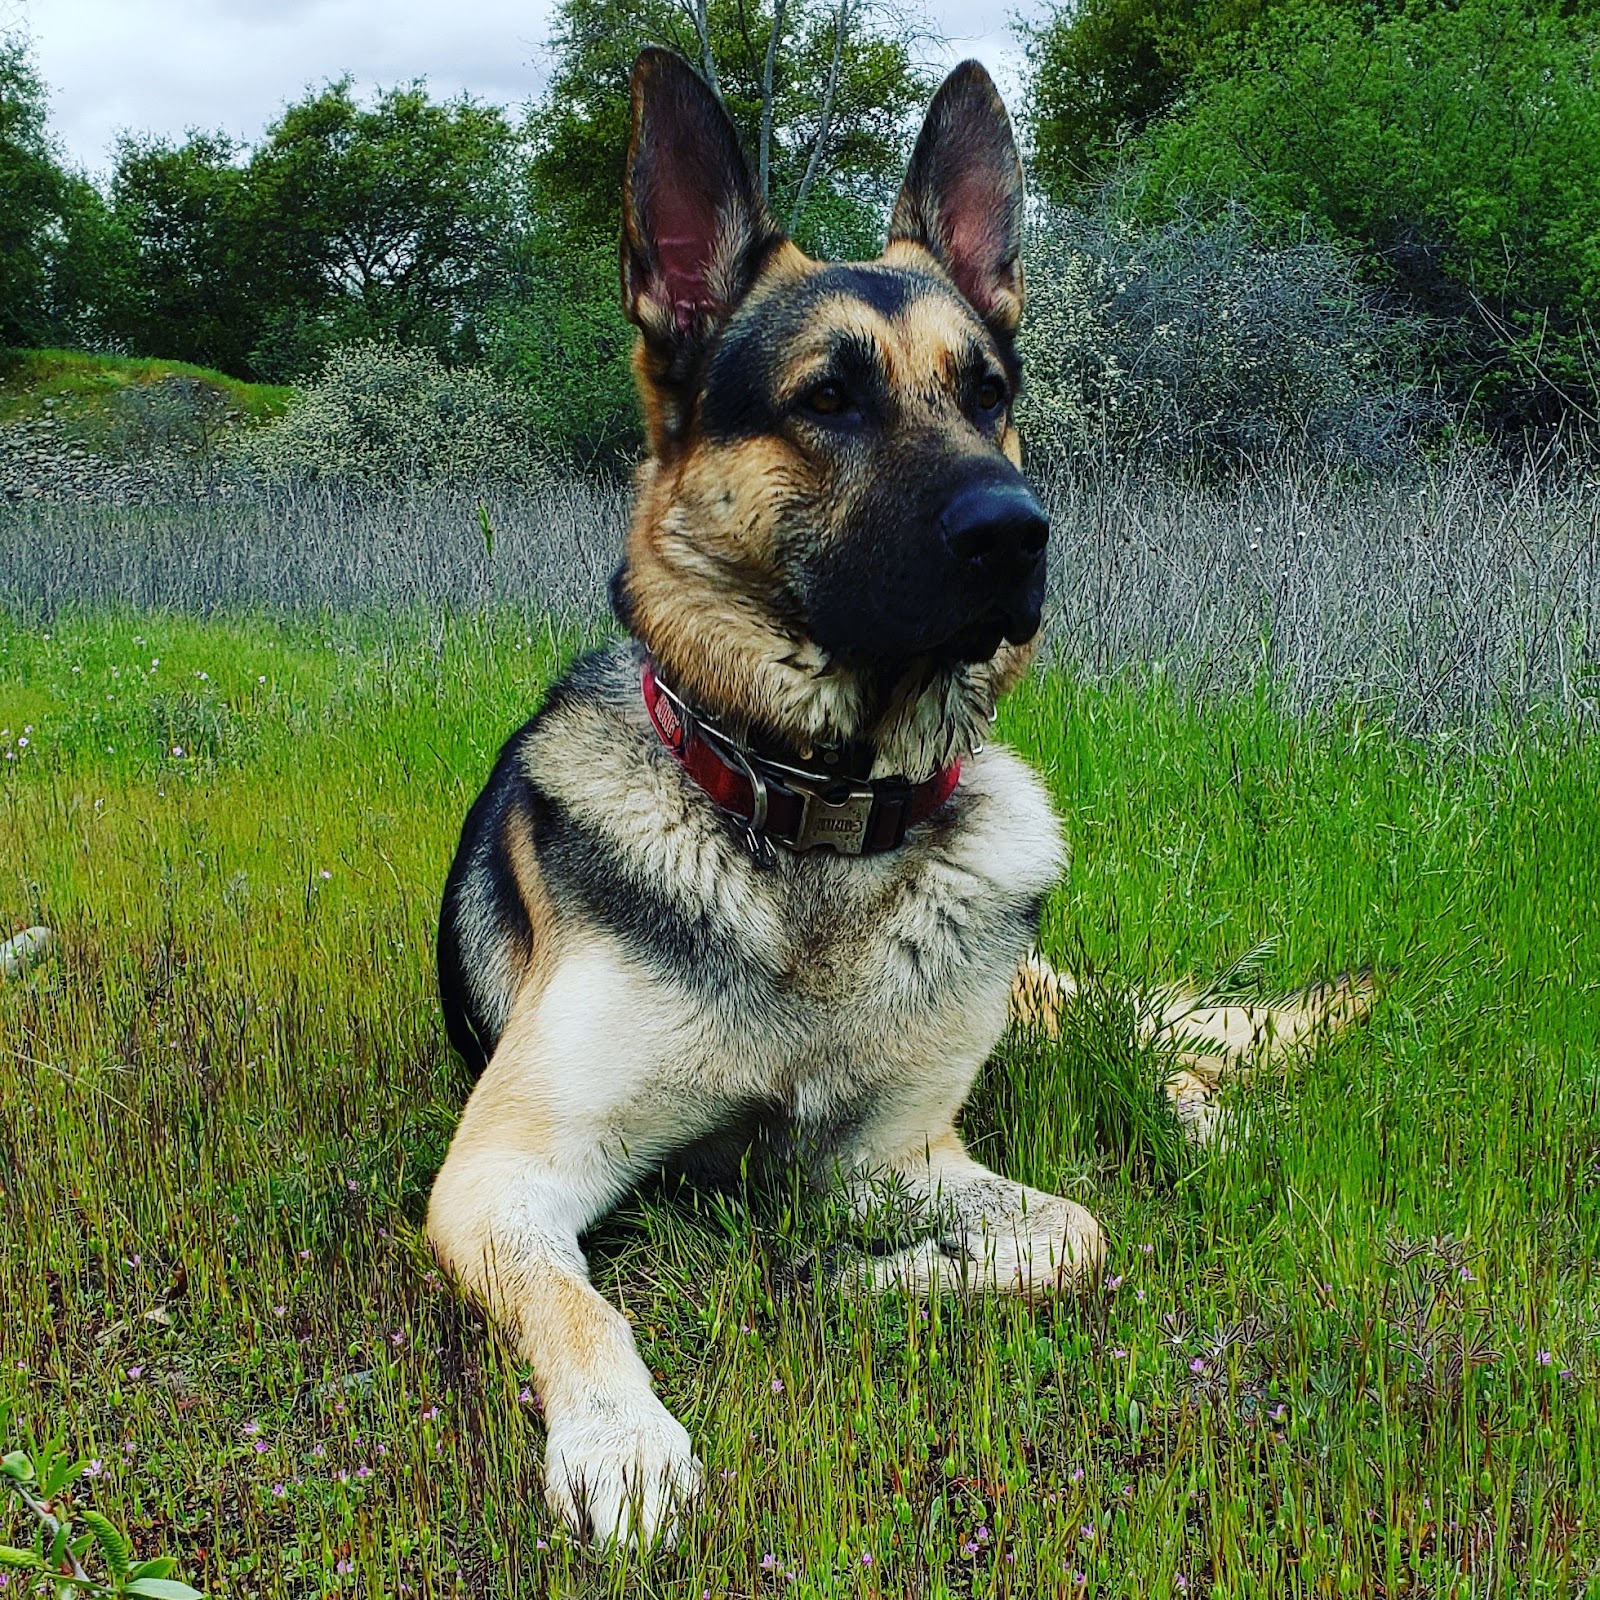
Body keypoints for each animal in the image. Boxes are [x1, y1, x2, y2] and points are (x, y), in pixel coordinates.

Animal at [425, 48, 1369, 1548]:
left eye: (986, 391)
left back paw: (1203, 1118)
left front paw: (860, 1277)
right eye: (828, 400)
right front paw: (622, 1441)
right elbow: (578, 1301)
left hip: (1036, 990)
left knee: (1162, 1035)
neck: (814, 814)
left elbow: (1074, 1234)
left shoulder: (903, 1154)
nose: (1019, 533)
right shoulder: (504, 1177)